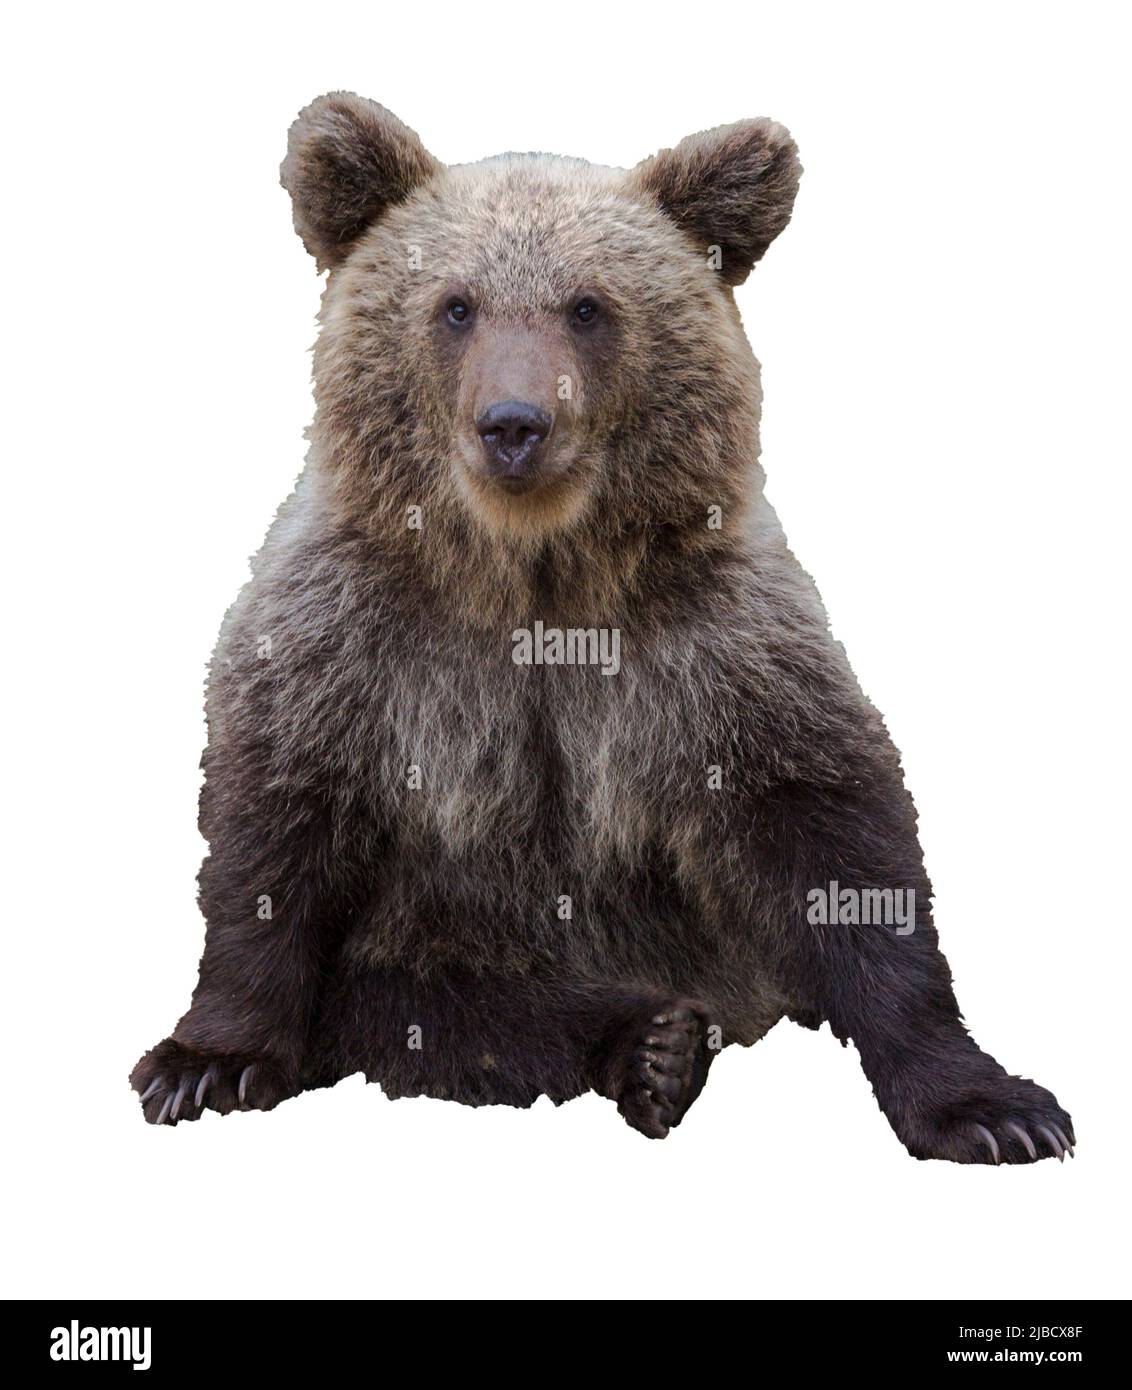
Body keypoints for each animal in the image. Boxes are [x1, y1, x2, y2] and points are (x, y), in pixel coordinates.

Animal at [131, 92, 1073, 1162]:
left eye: (587, 305)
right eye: (456, 304)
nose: (514, 422)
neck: (535, 578)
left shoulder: (716, 646)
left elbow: (835, 837)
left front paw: (992, 1107)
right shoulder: (349, 638)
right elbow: (274, 833)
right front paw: (205, 1062)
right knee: (435, 1008)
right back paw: (647, 1043)